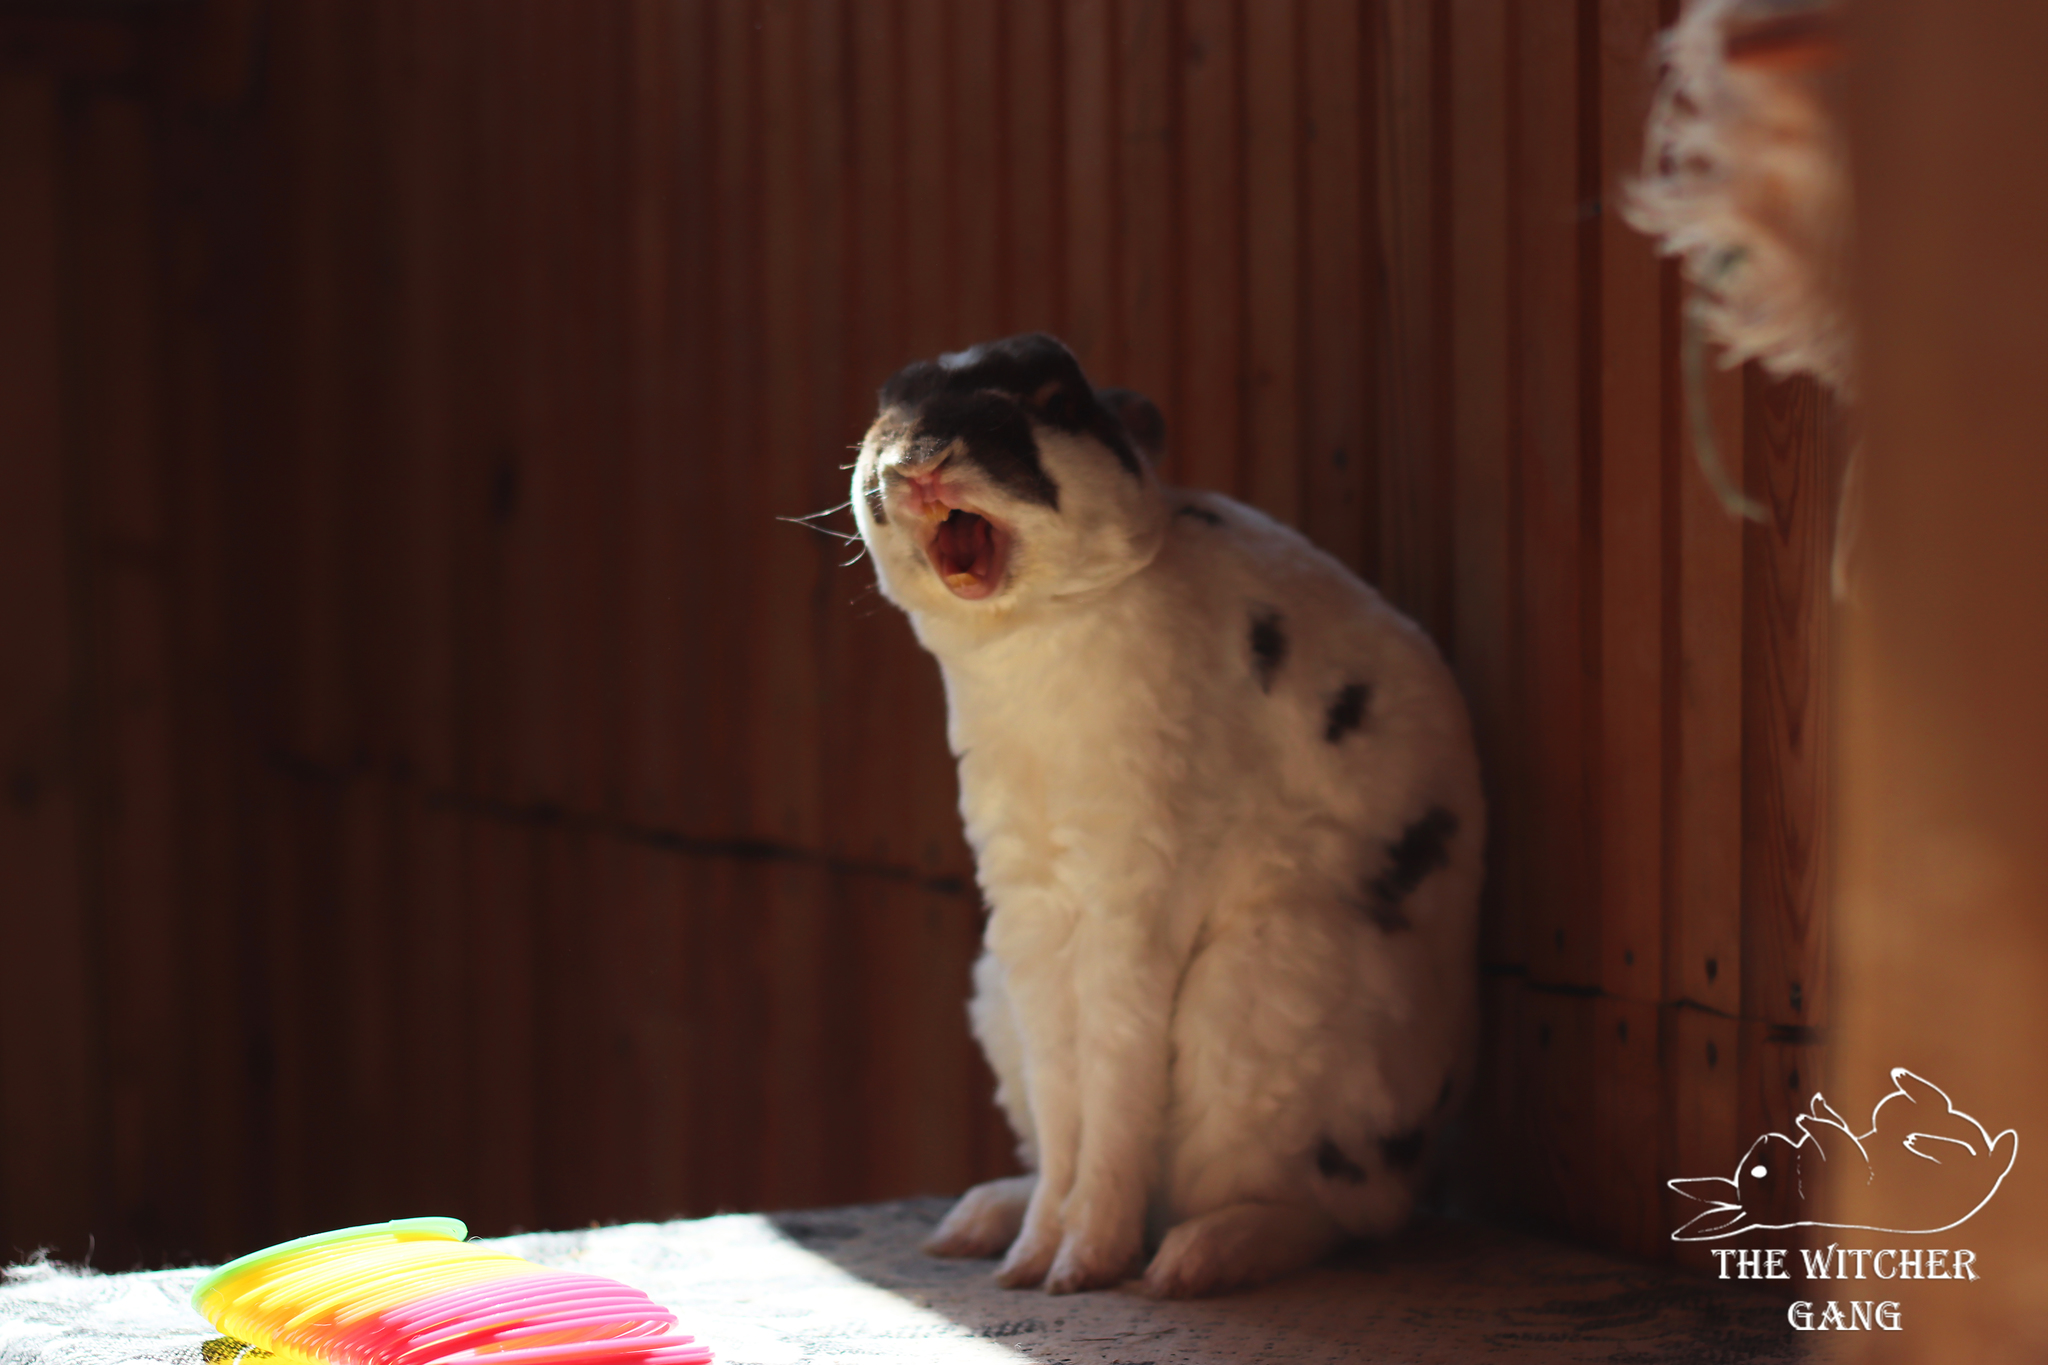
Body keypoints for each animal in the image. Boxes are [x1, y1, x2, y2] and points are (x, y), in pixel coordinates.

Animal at [847, 335, 1490, 1301]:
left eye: (1053, 400)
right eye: (887, 405)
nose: (920, 460)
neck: (1034, 632)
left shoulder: (1133, 894)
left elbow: (1113, 1082)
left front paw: (1081, 1266)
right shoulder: (1030, 909)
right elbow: (1066, 1097)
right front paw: (1030, 1261)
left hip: (1261, 1000)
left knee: (1332, 1215)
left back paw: (1189, 1262)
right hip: (996, 989)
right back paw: (980, 1223)